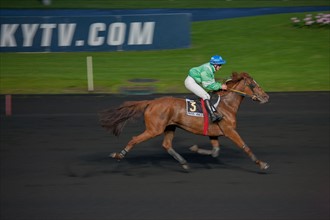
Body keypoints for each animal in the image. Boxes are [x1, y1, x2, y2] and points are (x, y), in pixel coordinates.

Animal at [100, 72, 270, 170]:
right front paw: (262, 163)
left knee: (166, 145)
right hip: (154, 129)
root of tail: (151, 102)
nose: (266, 97)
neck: (226, 106)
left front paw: (195, 149)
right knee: (135, 139)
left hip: (170, 127)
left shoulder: (214, 133)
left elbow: (215, 151)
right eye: (253, 84)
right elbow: (245, 146)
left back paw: (184, 162)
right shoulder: (229, 130)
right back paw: (119, 155)